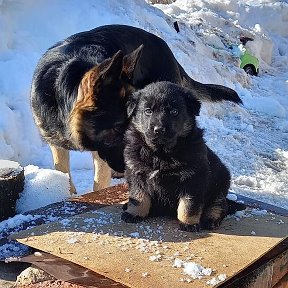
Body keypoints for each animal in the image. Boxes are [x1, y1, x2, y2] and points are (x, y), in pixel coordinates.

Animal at [30, 24, 242, 195]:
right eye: (116, 127)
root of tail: (168, 51)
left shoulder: (102, 153)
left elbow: (99, 183)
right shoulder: (56, 144)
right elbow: (62, 172)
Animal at [121, 81, 245, 232]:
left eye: (174, 112)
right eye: (148, 111)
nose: (159, 130)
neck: (160, 153)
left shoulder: (193, 178)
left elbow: (189, 204)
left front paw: (189, 223)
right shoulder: (136, 172)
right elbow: (138, 196)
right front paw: (134, 214)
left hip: (220, 184)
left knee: (220, 205)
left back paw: (211, 219)